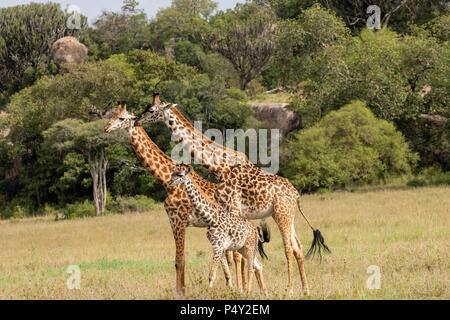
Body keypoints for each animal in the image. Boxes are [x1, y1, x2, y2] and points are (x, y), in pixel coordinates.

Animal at [101, 102, 246, 296]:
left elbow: (180, 260)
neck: (165, 181)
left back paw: (241, 288)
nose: (106, 128)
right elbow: (178, 260)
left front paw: (181, 292)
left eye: (121, 118)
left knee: (238, 255)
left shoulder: (179, 221)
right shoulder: (172, 221)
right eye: (111, 115)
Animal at [168, 165, 268, 296]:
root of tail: (255, 230)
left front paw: (208, 293)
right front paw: (229, 292)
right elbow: (226, 275)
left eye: (180, 175)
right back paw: (264, 293)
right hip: (243, 248)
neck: (210, 217)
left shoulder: (218, 245)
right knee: (259, 265)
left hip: (250, 246)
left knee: (251, 268)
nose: (169, 182)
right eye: (172, 173)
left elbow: (211, 275)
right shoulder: (218, 246)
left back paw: (248, 292)